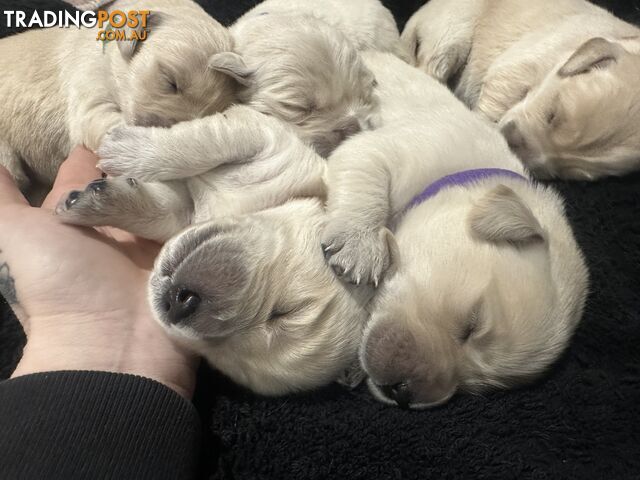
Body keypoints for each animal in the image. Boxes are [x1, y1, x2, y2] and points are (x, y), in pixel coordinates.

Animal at [402, 0, 640, 180]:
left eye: (566, 173)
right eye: (551, 115)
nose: (511, 146)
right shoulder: (515, 68)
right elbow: (493, 104)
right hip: (452, 32)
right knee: (428, 69)